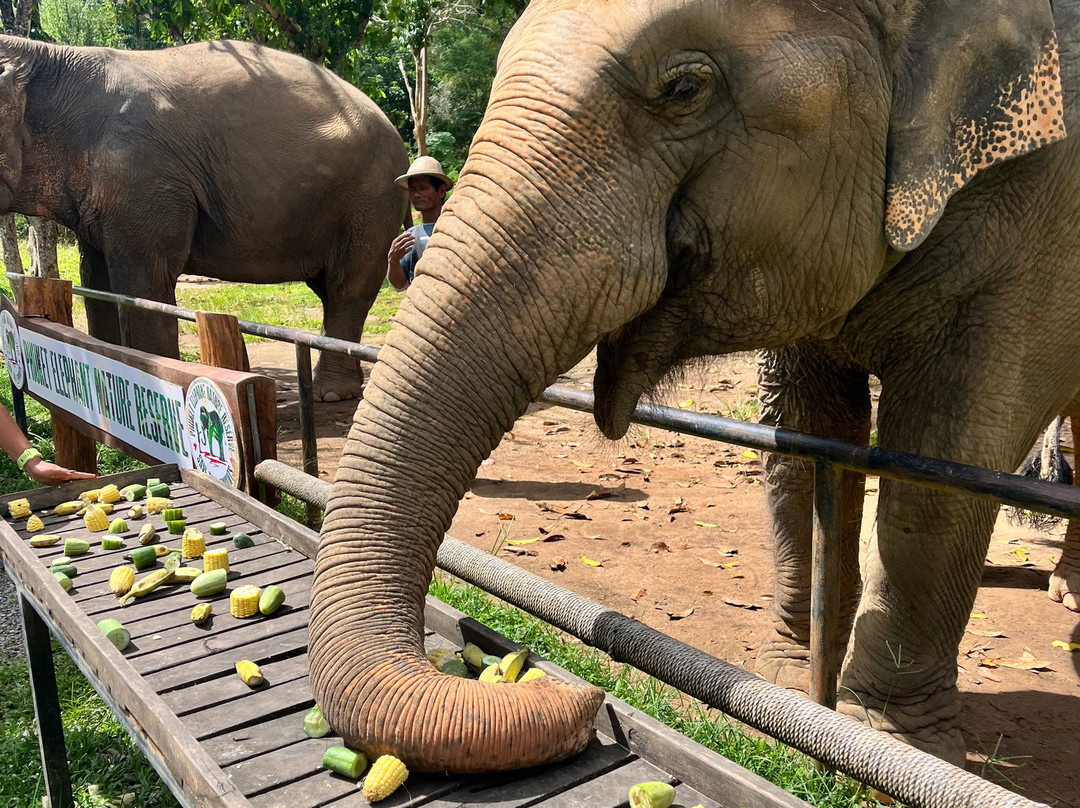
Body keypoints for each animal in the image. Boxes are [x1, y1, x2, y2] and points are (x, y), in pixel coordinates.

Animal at [0, 36, 409, 401]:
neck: (49, 62)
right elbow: (96, 279)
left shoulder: (143, 177)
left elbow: (143, 284)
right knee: (329, 287)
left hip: (370, 199)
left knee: (348, 286)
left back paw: (333, 394)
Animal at [309, 0, 1080, 774]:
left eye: (683, 89)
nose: (588, 693)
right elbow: (803, 437)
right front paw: (792, 694)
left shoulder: (1041, 220)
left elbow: (945, 464)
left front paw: (888, 753)